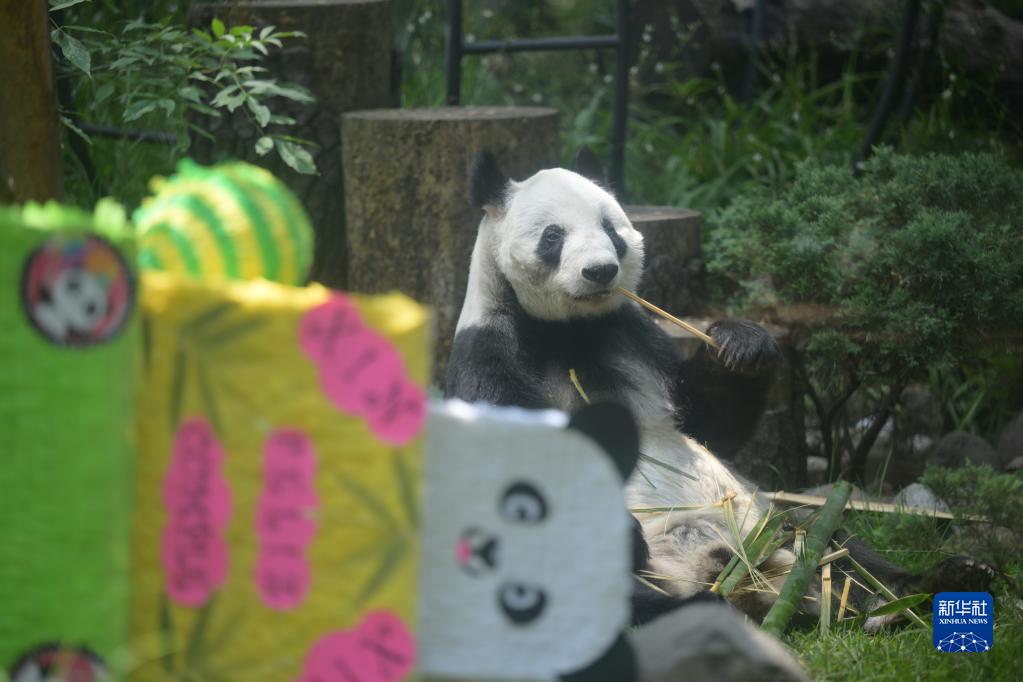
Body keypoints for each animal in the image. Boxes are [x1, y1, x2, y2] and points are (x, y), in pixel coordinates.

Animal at [441, 150, 990, 629]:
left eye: (611, 230)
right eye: (552, 236)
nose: (600, 271)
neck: (566, 330)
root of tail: (733, 577)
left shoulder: (634, 338)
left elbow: (709, 423)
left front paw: (741, 347)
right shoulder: (489, 352)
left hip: (768, 522)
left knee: (833, 543)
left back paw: (926, 587)